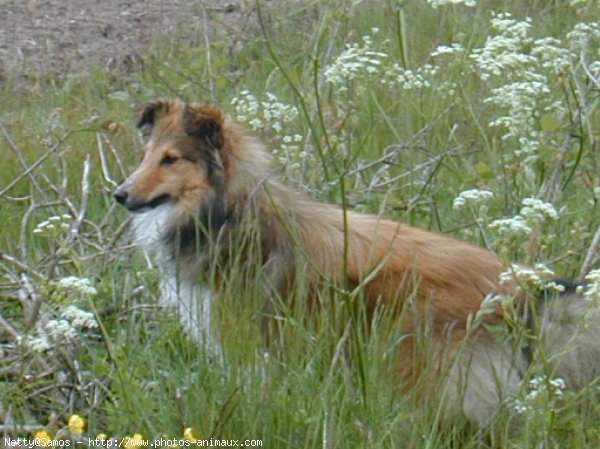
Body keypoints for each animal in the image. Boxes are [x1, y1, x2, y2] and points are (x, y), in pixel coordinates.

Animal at [113, 100, 600, 426]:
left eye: (171, 159)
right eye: (146, 156)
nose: (119, 194)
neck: (229, 212)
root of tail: (520, 285)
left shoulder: (250, 347)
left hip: (430, 373)